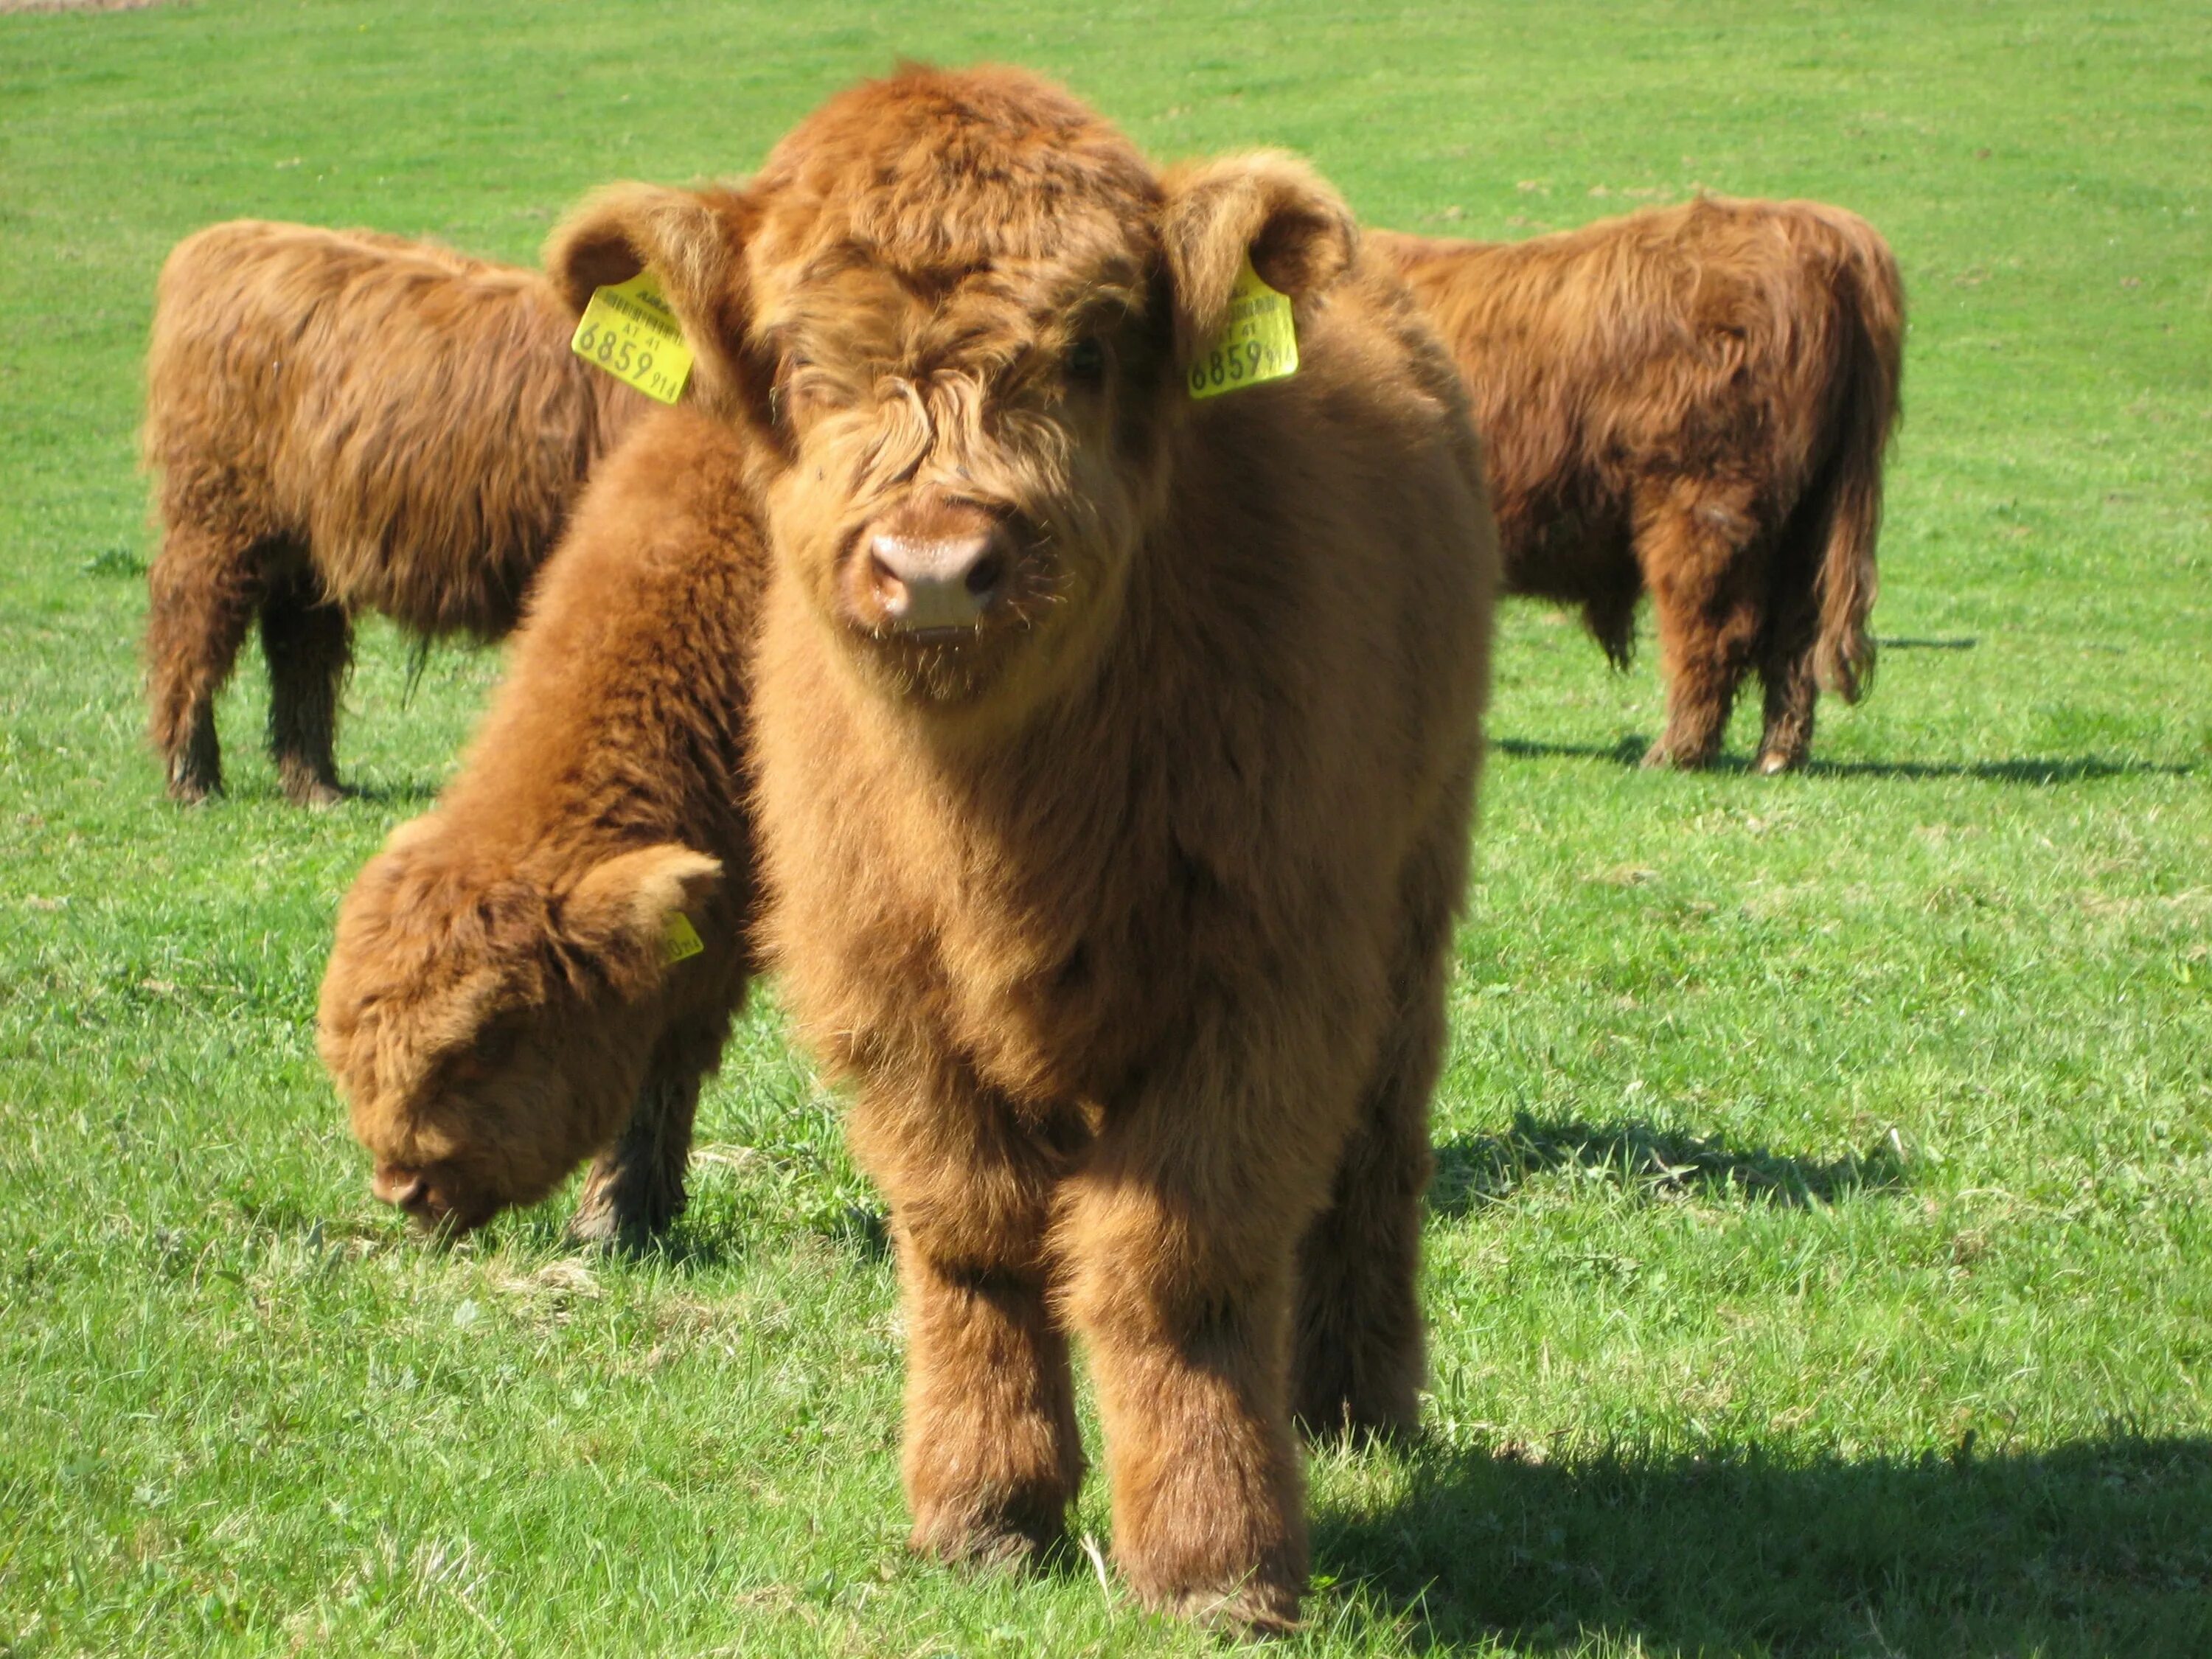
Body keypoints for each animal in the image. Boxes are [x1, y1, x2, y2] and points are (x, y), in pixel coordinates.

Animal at [140, 224, 646, 810]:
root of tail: (227, 237)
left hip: (303, 542)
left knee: (301, 647)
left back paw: (315, 784)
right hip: (218, 514)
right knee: (191, 625)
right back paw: (193, 778)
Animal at [544, 68, 1495, 1637]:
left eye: (1093, 349)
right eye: (803, 363)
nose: (934, 566)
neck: (1003, 825)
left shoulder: (1267, 983)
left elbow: (1175, 1262)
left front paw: (1214, 1557)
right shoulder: (888, 999)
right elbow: (973, 1236)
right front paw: (983, 1512)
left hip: (1413, 889)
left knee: (1378, 1145)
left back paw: (1352, 1400)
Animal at [1380, 197, 1902, 774]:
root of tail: (1812, 226)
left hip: (1704, 500)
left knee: (1714, 630)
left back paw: (1677, 751)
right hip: (1809, 521)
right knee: (1794, 639)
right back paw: (1775, 756)